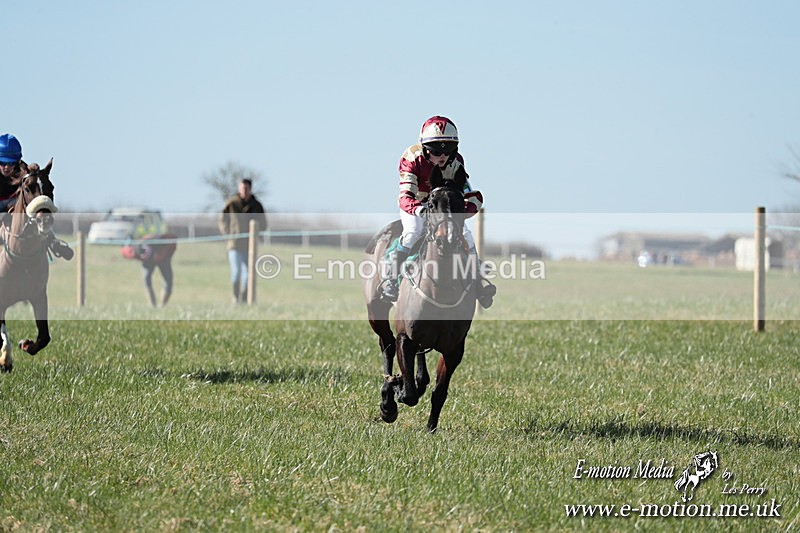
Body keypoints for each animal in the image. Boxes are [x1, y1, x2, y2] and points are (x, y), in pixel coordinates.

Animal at [0, 159, 58, 373]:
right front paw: (5, 361)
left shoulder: (38, 295)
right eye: (27, 188)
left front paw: (26, 344)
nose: (44, 219)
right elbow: (4, 334)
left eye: (51, 187)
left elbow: (44, 337)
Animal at [363, 166, 478, 432]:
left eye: (460, 203)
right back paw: (388, 397)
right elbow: (409, 394)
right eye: (432, 204)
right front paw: (394, 394)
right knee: (386, 345)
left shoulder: (454, 348)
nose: (447, 239)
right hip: (376, 311)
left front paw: (431, 428)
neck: (441, 287)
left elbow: (440, 392)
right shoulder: (405, 337)